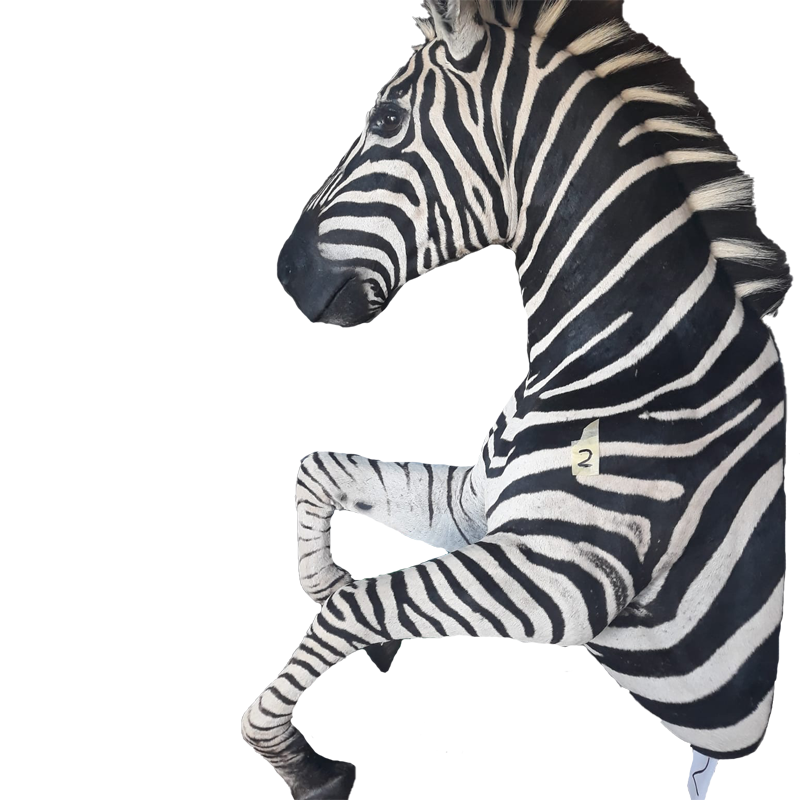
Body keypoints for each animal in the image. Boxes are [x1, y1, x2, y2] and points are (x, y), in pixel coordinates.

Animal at [242, 2, 791, 798]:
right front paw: (330, 588)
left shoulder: (560, 575)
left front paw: (296, 756)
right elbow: (321, 473)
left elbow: (361, 603)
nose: (285, 271)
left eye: (384, 119)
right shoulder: (476, 505)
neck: (638, 353)